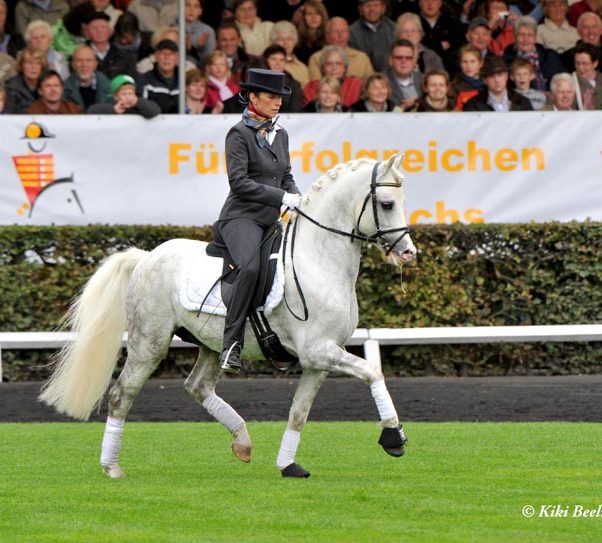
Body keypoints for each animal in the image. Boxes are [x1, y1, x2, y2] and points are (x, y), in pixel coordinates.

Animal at [39, 155, 414, 478]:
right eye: (387, 204)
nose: (408, 253)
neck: (317, 260)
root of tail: (146, 256)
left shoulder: (317, 362)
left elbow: (298, 413)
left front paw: (288, 466)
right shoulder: (318, 351)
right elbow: (373, 372)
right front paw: (393, 437)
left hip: (213, 343)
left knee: (198, 387)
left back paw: (243, 441)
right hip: (150, 343)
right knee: (122, 394)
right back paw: (112, 468)